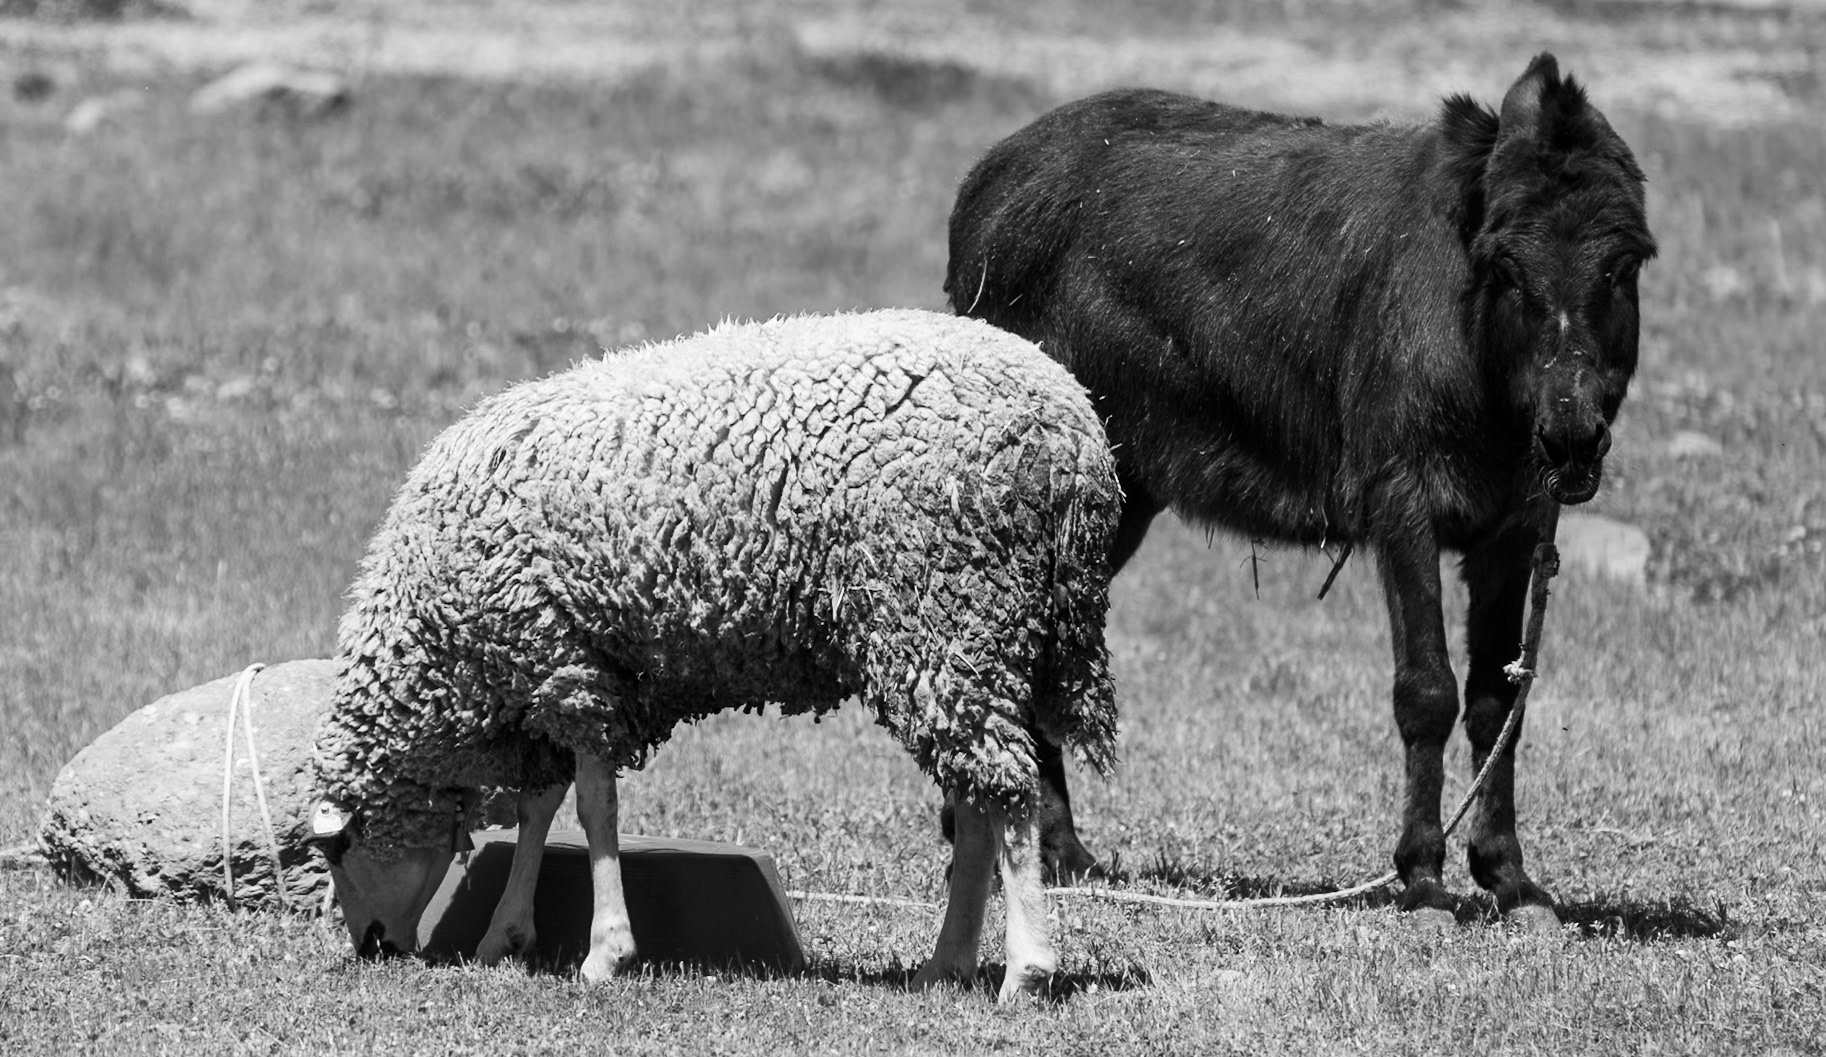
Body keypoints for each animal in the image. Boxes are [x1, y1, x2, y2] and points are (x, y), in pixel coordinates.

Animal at [308, 308, 1122, 1002]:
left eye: (338, 849)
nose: (374, 946)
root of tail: (1076, 432)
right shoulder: (558, 672)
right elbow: (541, 808)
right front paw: (505, 934)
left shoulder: (564, 665)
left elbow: (594, 807)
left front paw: (605, 953)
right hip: (953, 642)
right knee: (977, 801)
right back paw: (946, 964)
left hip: (944, 608)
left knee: (1007, 792)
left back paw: (1027, 969)